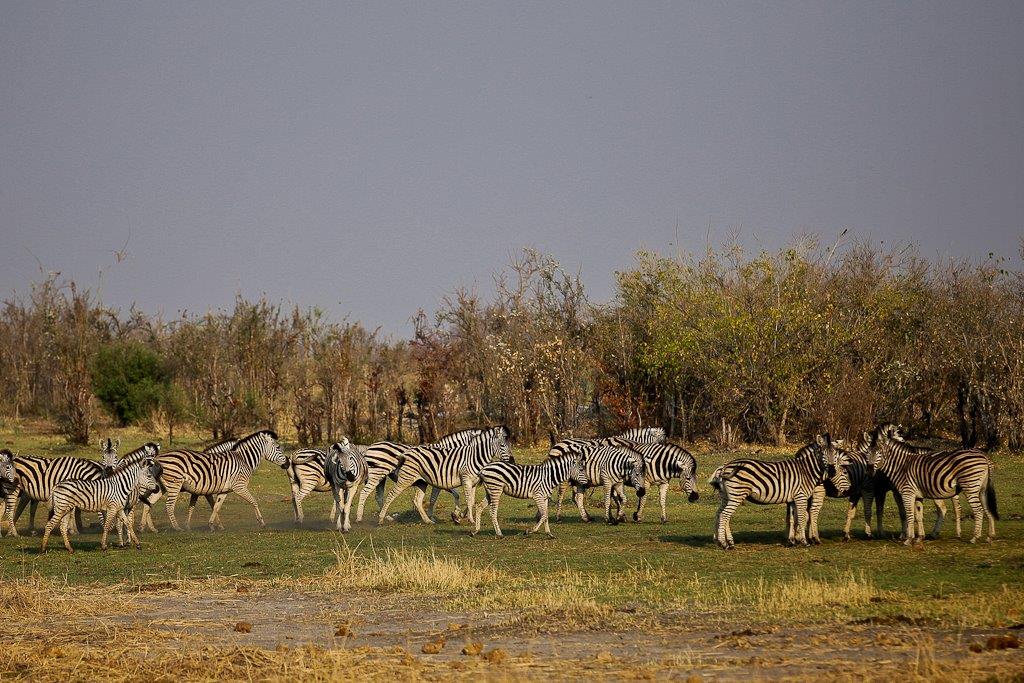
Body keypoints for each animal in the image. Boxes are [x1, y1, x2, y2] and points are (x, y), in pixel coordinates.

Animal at [153, 430, 286, 532]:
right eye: (278, 448)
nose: (288, 463)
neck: (244, 460)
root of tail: (159, 457)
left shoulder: (222, 490)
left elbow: (215, 507)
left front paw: (212, 525)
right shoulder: (239, 486)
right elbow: (254, 501)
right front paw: (261, 522)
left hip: (162, 487)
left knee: (150, 504)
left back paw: (150, 528)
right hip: (174, 484)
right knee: (169, 505)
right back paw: (176, 528)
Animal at [376, 423, 516, 528]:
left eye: (510, 445)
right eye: (503, 445)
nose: (512, 461)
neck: (474, 456)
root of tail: (407, 453)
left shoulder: (473, 483)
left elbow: (470, 500)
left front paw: (460, 516)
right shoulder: (461, 479)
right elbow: (460, 498)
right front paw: (468, 519)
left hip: (420, 482)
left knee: (416, 500)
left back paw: (427, 521)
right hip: (403, 478)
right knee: (390, 495)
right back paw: (381, 519)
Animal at [708, 438, 851, 548]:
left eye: (835, 456)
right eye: (844, 471)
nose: (848, 489)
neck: (806, 471)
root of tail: (725, 466)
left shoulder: (792, 499)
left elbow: (793, 519)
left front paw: (792, 541)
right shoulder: (801, 496)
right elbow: (802, 517)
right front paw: (804, 541)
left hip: (726, 496)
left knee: (719, 514)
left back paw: (723, 541)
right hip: (736, 495)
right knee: (724, 515)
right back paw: (725, 544)